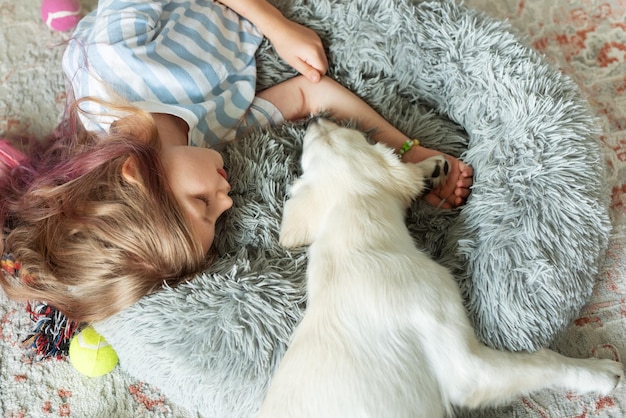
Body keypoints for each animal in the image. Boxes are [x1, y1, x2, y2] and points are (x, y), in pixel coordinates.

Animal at [258, 118, 620, 418]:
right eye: (360, 135)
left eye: (307, 154)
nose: (315, 118)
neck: (353, 226)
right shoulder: (466, 362)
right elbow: (544, 359)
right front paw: (600, 372)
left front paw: (431, 166)